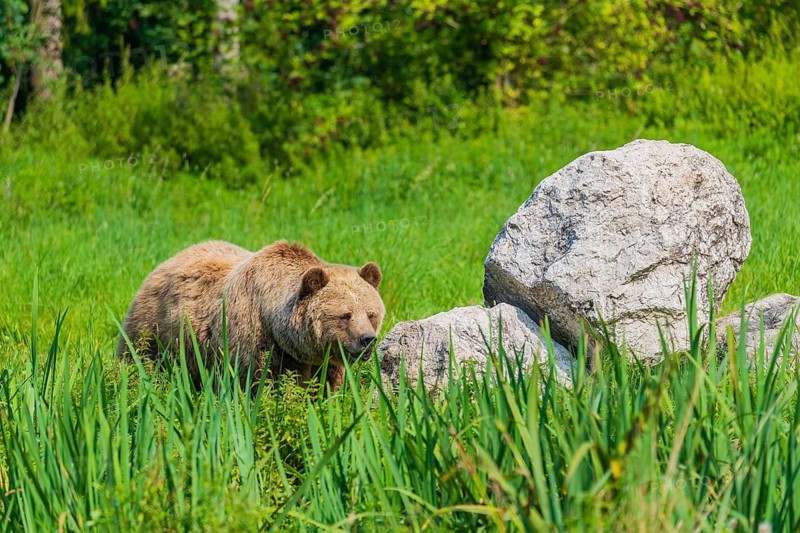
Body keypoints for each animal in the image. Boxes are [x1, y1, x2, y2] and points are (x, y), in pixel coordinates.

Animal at [116, 240, 386, 391]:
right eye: (345, 315)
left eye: (371, 314)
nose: (367, 339)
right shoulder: (257, 342)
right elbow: (263, 384)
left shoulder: (322, 360)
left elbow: (326, 388)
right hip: (155, 331)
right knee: (139, 359)